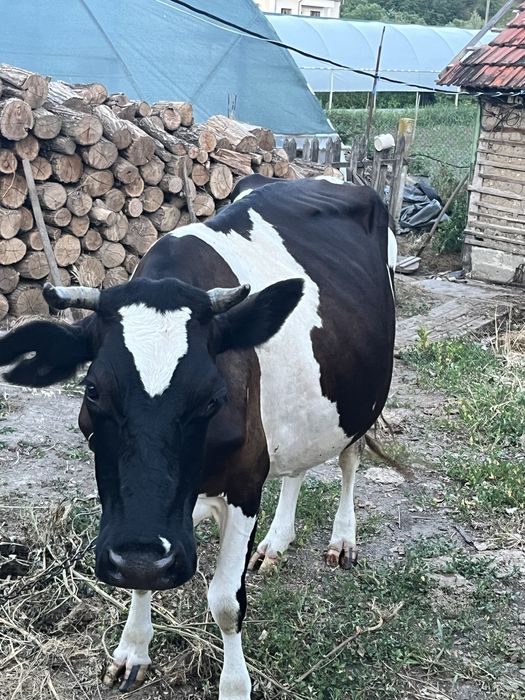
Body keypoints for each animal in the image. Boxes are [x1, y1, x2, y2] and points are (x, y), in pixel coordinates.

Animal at [0, 175, 396, 699]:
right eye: (93, 390)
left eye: (213, 398)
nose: (139, 556)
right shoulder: (143, 526)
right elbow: (143, 575)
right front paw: (132, 651)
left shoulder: (245, 482)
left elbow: (226, 602)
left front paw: (235, 686)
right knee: (296, 465)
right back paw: (276, 542)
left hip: (364, 398)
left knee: (350, 460)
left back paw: (343, 540)